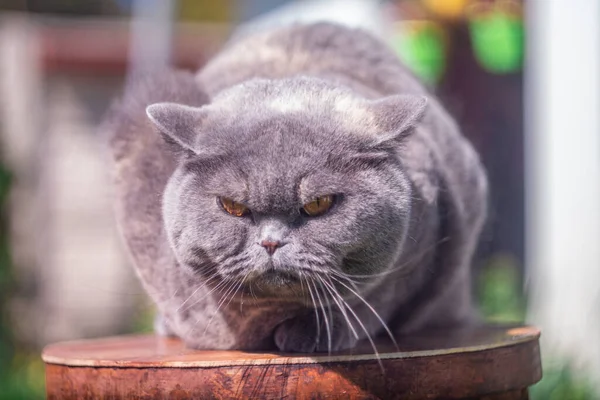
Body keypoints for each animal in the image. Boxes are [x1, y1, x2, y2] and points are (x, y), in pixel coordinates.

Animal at [104, 22, 488, 354]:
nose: (271, 242)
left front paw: (314, 332)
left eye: (319, 204)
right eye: (232, 207)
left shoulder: (423, 248)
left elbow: (373, 298)